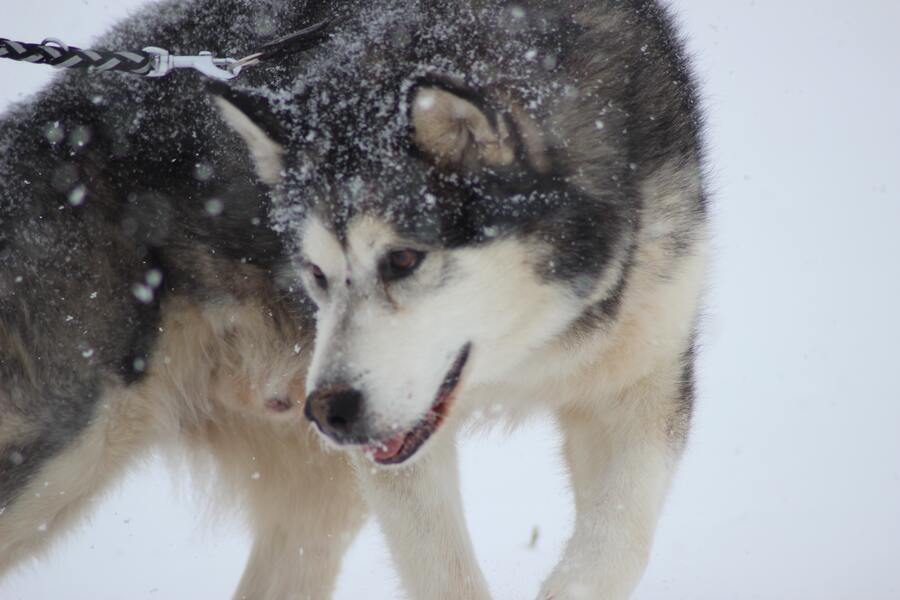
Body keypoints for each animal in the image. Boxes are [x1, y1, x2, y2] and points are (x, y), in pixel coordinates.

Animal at [213, 2, 712, 596]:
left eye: (403, 259)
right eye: (316, 272)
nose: (329, 411)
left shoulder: (641, 377)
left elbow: (619, 542)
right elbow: (443, 571)